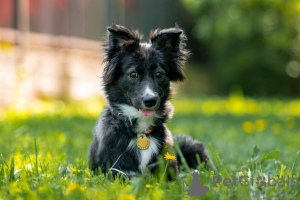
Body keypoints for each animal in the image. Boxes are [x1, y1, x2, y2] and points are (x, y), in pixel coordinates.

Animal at [88, 23, 211, 178]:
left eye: (159, 74)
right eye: (133, 74)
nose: (150, 100)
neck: (142, 130)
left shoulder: (168, 169)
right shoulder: (118, 171)